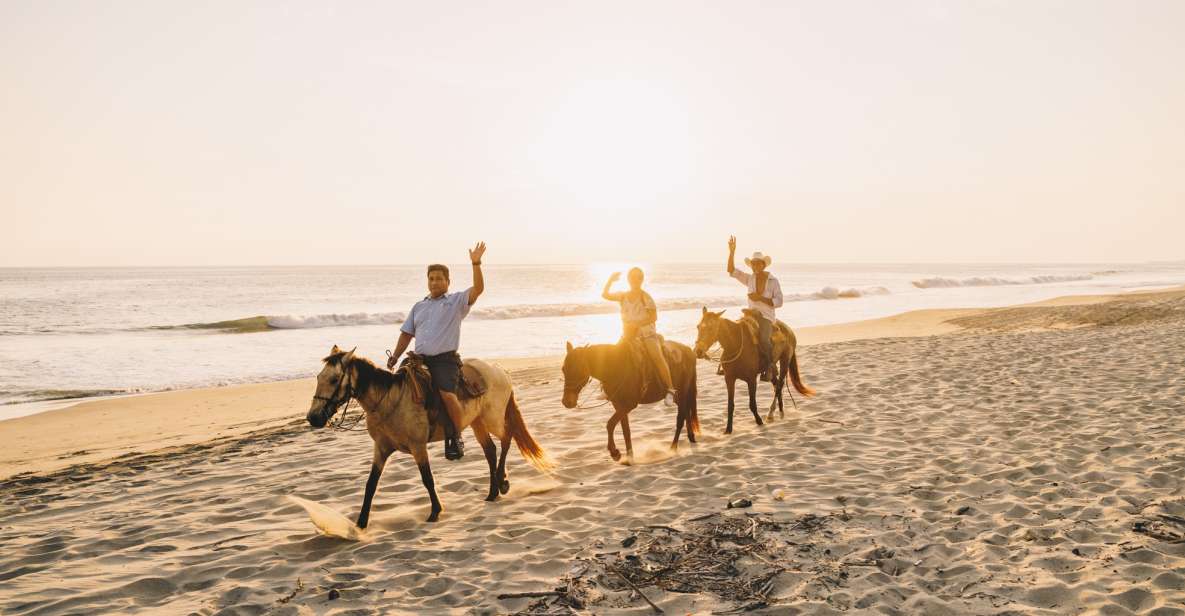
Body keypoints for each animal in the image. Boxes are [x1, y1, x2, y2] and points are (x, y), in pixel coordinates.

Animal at [300, 345, 549, 523]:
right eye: (318, 378)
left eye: (334, 379)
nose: (314, 417)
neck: (388, 400)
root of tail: (499, 370)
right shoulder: (381, 449)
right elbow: (371, 484)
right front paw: (361, 522)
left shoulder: (418, 446)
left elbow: (427, 478)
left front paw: (435, 512)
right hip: (477, 422)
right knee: (490, 450)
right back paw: (492, 492)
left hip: (493, 418)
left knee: (507, 437)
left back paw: (502, 482)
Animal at [561, 338, 696, 464]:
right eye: (563, 369)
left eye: (578, 369)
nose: (567, 402)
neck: (615, 366)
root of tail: (687, 350)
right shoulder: (618, 405)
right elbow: (625, 430)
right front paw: (629, 457)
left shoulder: (629, 405)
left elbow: (610, 424)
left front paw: (615, 453)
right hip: (680, 397)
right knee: (686, 413)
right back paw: (691, 437)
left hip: (682, 394)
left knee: (680, 419)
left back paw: (673, 448)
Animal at [692, 305, 815, 433]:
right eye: (698, 327)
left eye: (711, 328)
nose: (698, 351)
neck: (735, 344)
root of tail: (789, 330)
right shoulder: (729, 378)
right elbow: (730, 405)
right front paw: (728, 429)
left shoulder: (751, 379)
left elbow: (752, 404)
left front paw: (759, 421)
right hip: (772, 371)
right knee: (776, 384)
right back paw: (780, 412)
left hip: (785, 361)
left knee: (779, 386)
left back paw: (771, 414)